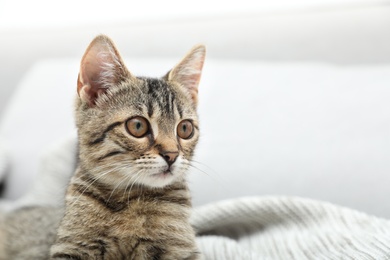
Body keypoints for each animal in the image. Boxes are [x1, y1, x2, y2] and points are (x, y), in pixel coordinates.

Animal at [0, 35, 206, 260]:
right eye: (137, 126)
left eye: (185, 128)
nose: (172, 154)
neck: (131, 198)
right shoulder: (72, 246)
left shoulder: (179, 249)